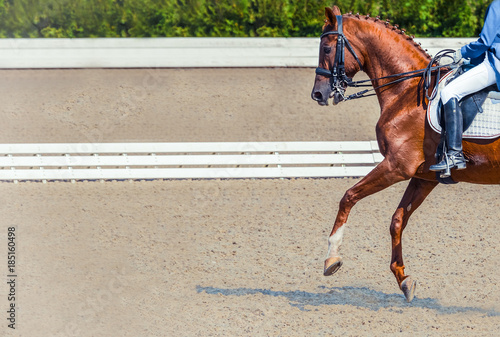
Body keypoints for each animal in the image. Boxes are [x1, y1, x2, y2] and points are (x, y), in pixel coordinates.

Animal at [310, 5, 500, 302]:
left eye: (327, 47)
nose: (318, 94)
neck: (407, 92)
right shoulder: (425, 176)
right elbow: (398, 220)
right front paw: (403, 279)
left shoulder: (396, 166)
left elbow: (348, 197)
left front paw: (332, 258)